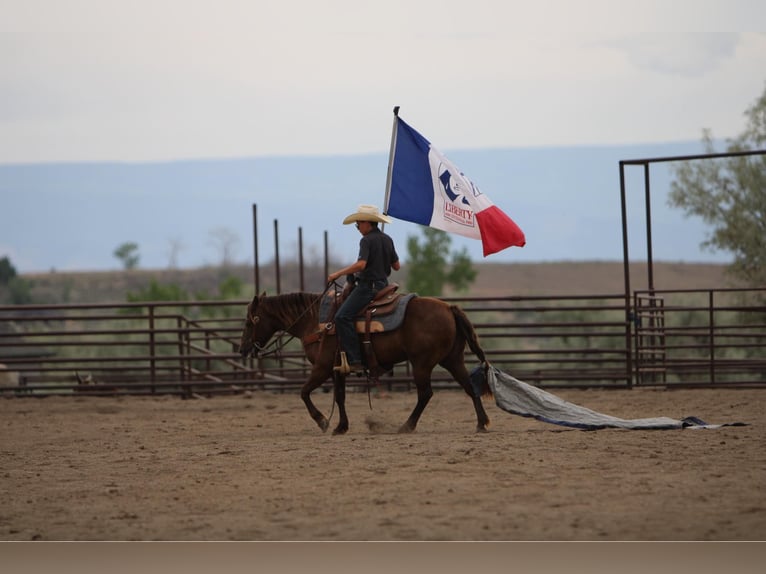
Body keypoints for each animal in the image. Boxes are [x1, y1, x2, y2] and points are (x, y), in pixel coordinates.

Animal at [237, 292, 496, 436]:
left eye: (250, 322)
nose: (242, 349)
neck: (315, 321)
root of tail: (449, 308)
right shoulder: (337, 370)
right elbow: (340, 397)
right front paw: (341, 426)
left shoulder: (321, 367)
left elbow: (303, 392)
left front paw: (322, 421)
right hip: (452, 359)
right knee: (469, 387)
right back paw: (482, 423)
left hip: (422, 363)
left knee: (425, 394)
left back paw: (406, 426)